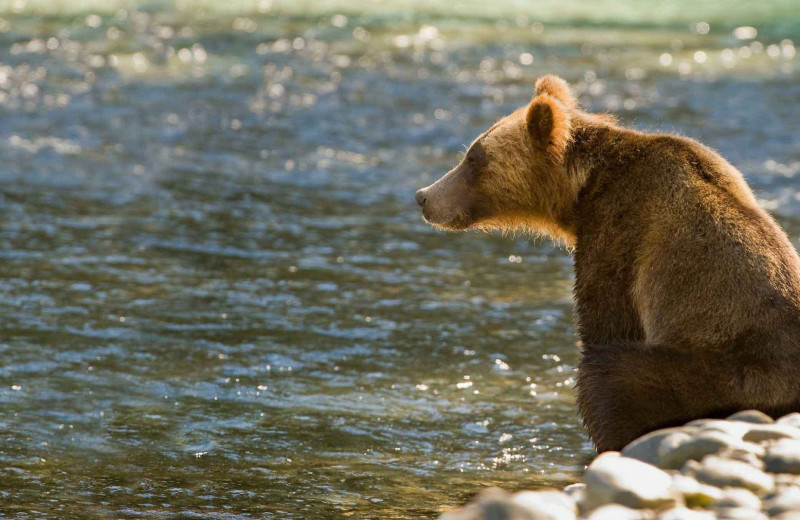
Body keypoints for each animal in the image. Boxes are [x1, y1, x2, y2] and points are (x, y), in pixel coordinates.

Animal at [416, 75, 800, 452]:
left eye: (473, 158)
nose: (423, 196)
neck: (582, 191)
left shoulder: (622, 229)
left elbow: (606, 320)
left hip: (726, 373)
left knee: (610, 376)